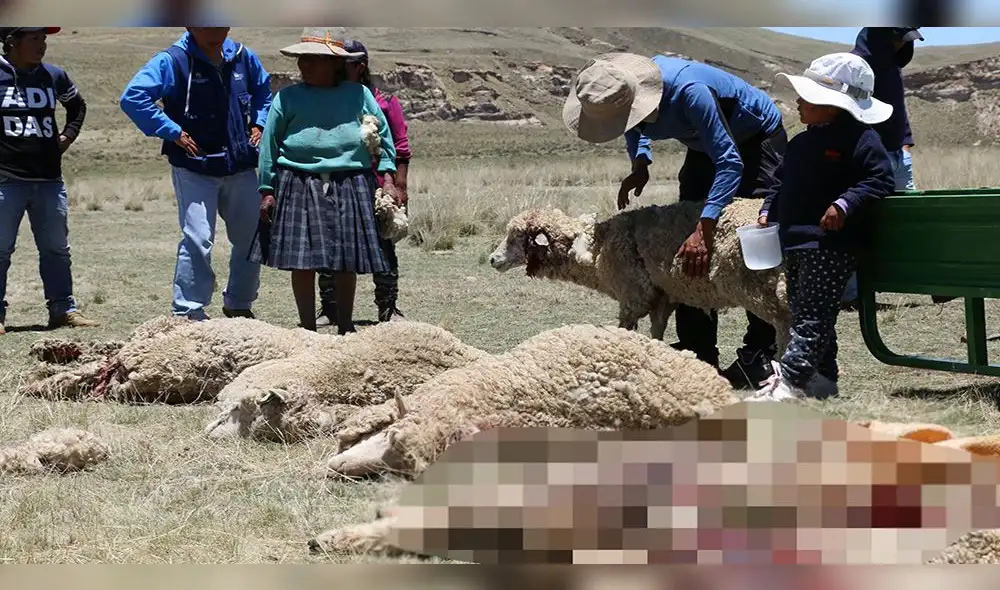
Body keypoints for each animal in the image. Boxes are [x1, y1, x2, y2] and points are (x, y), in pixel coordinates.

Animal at [487, 199, 790, 356]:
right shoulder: (662, 297)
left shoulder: (633, 297)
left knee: (783, 324)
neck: (599, 247)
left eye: (515, 238)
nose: (492, 259)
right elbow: (656, 331)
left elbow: (626, 329)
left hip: (757, 287)